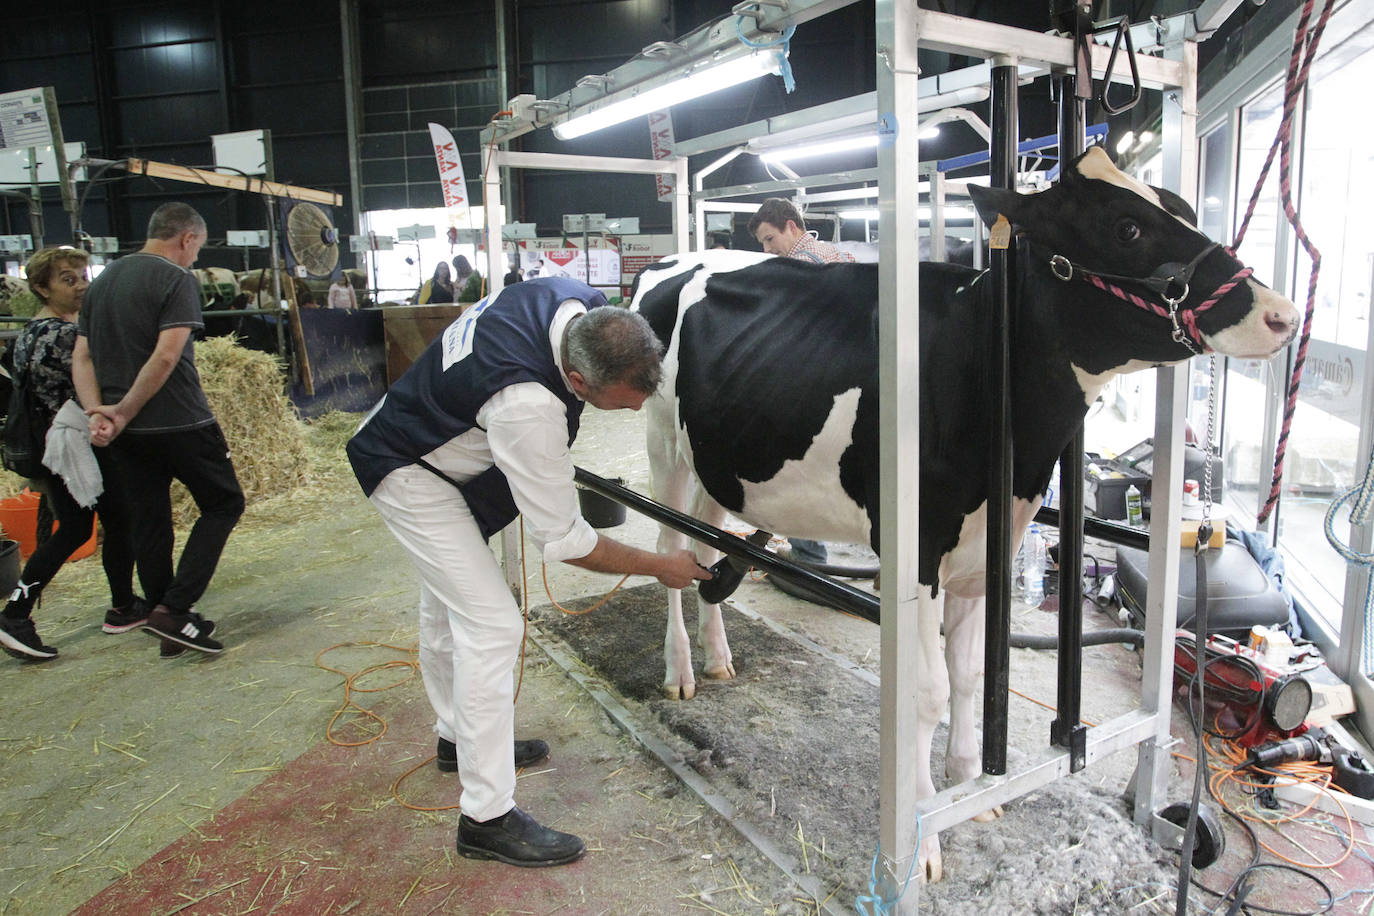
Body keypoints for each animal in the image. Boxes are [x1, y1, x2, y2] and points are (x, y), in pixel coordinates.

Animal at [629, 146, 1297, 884]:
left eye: (1176, 206)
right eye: (1127, 228)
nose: (1282, 314)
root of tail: (682, 256)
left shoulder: (986, 548)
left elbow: (974, 679)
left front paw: (973, 790)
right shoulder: (916, 551)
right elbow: (928, 694)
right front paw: (922, 837)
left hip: (718, 459)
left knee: (706, 550)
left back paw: (719, 658)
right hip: (664, 449)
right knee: (669, 553)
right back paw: (681, 671)